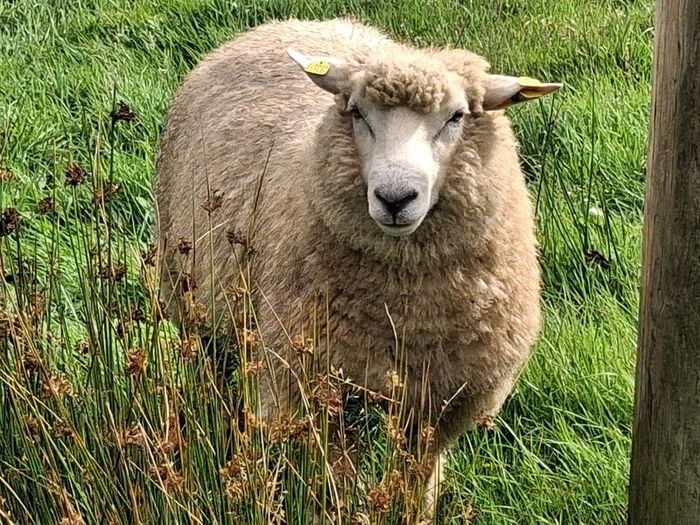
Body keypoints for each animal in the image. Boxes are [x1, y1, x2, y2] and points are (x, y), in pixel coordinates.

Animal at [155, 17, 560, 513]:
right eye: (357, 113)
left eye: (457, 116)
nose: (395, 197)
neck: (410, 313)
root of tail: (285, 23)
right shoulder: (315, 390)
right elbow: (338, 483)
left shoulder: (442, 403)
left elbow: (417, 479)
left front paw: (413, 512)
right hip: (189, 295)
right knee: (208, 370)